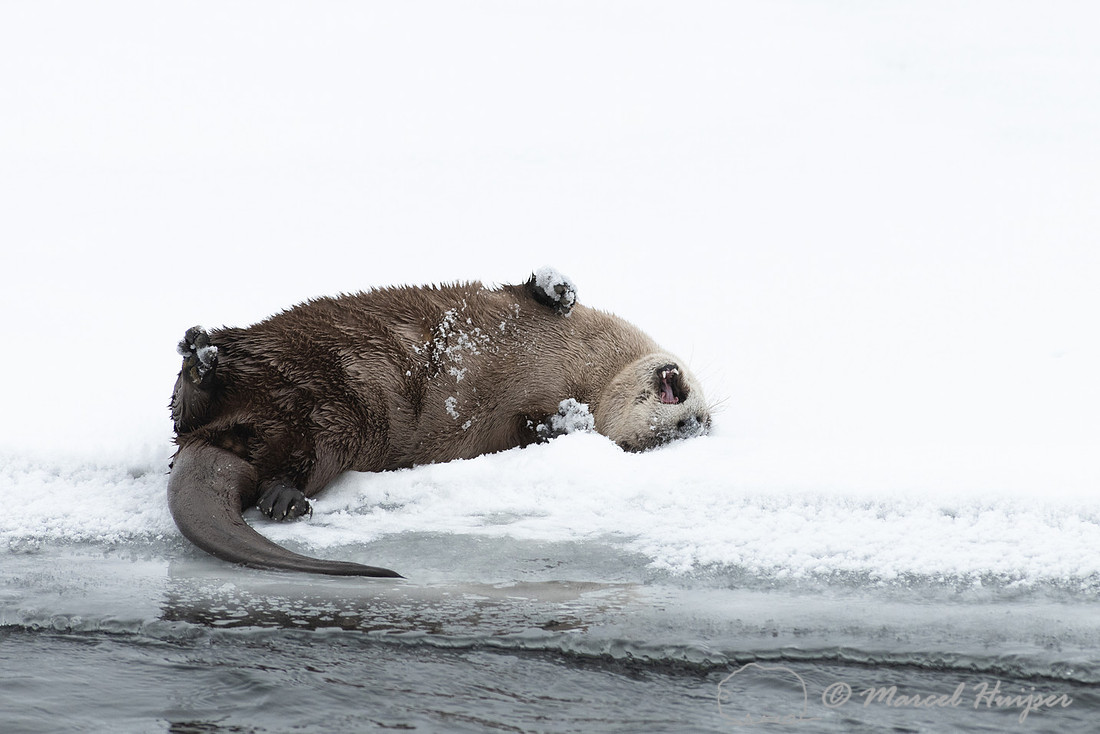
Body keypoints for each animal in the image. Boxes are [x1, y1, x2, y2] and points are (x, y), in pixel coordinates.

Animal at [168, 268, 711, 577]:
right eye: (693, 425)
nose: (691, 422)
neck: (586, 367)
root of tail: (218, 438)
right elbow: (532, 293)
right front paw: (555, 287)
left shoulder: (510, 428)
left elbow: (532, 427)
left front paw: (566, 418)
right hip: (273, 346)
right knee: (187, 402)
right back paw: (200, 355)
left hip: (336, 428)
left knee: (289, 462)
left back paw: (283, 498)